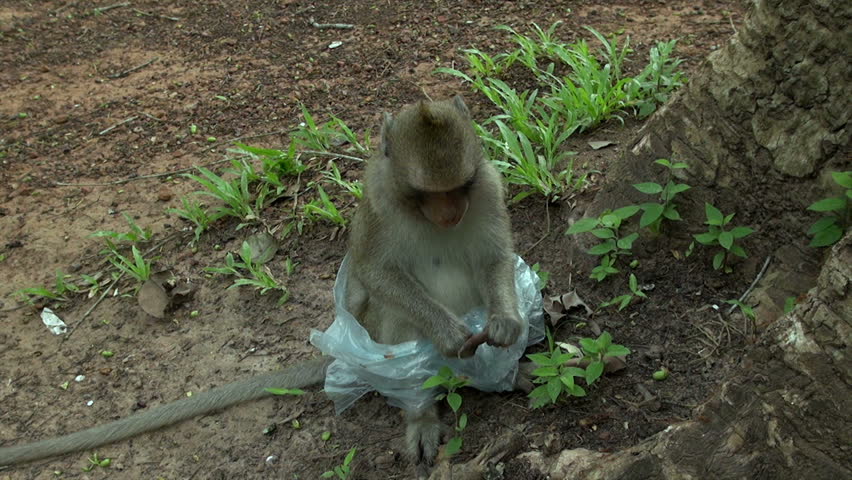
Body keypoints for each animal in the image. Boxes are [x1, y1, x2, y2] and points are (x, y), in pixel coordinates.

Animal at [0, 96, 525, 474]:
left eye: (460, 187)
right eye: (424, 194)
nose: (450, 213)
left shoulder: (489, 186)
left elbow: (496, 257)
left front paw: (504, 323)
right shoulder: (379, 202)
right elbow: (373, 273)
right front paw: (451, 333)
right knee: (394, 318)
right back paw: (421, 412)